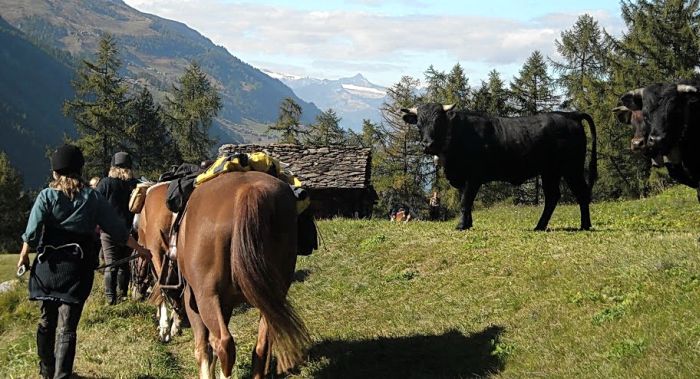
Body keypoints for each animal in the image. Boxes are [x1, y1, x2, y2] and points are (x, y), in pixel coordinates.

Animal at [176, 172, 308, 379]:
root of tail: (249, 190)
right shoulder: (226, 303)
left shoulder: (193, 300)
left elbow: (203, 348)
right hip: (273, 297)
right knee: (262, 346)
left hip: (206, 296)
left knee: (224, 343)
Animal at [404, 104, 596, 232]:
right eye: (419, 124)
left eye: (438, 122)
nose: (427, 144)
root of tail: (570, 115)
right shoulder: (462, 178)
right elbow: (466, 201)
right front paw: (468, 224)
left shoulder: (473, 177)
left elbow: (465, 202)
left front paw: (461, 226)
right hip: (550, 171)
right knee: (552, 196)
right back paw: (539, 226)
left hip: (572, 168)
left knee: (581, 193)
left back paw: (585, 225)